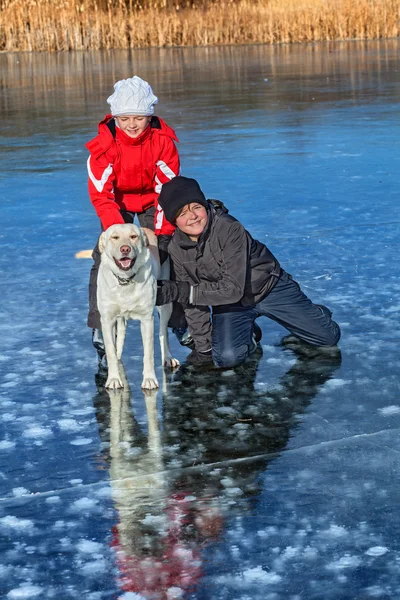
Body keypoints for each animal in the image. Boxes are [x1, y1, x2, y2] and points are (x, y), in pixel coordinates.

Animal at [96, 224, 179, 390]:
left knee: (163, 332)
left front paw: (149, 380)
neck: (125, 280)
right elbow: (110, 351)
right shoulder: (107, 320)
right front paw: (113, 379)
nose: (125, 249)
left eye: (133, 236)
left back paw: (167, 357)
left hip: (166, 305)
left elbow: (148, 353)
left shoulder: (147, 320)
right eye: (114, 237)